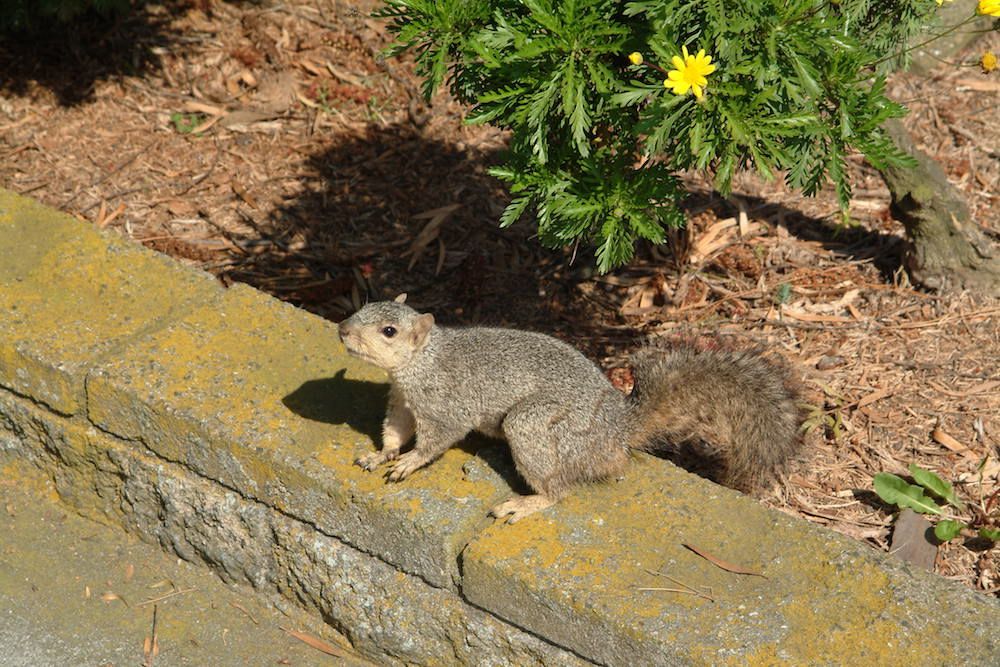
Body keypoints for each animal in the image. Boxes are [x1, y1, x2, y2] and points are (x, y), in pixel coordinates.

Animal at [340, 296, 800, 520]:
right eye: (361, 307)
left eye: (388, 331)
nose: (342, 329)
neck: (419, 363)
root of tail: (618, 430)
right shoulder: (402, 400)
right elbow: (395, 429)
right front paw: (382, 454)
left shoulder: (445, 404)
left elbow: (437, 439)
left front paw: (410, 462)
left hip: (534, 426)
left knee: (558, 489)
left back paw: (525, 504)